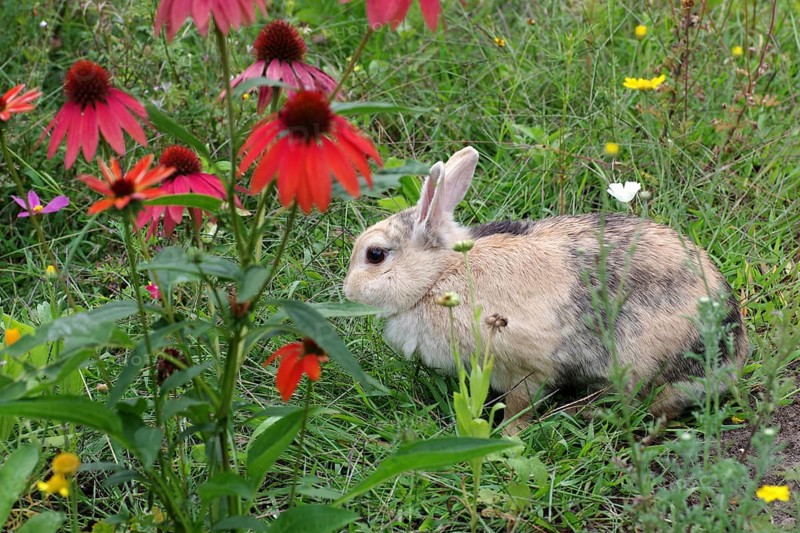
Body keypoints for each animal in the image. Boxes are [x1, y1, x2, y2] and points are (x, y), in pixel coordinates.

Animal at [343, 146, 748, 431]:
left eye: (375, 255)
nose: (347, 292)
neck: (441, 274)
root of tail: (732, 351)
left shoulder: (526, 366)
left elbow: (521, 403)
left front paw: (509, 434)